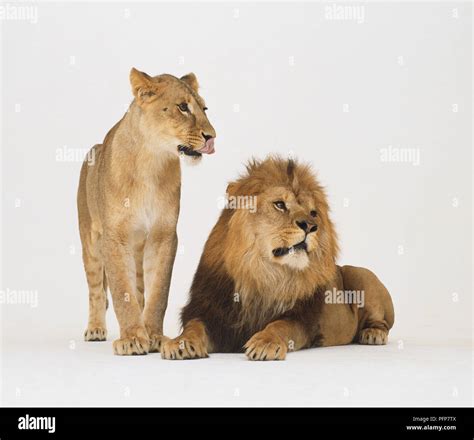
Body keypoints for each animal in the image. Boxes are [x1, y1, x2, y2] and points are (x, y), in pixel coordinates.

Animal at [78, 69, 217, 358]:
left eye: (205, 108)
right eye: (183, 107)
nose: (212, 136)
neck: (151, 162)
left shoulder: (164, 236)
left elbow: (157, 293)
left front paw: (152, 335)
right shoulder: (114, 238)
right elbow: (122, 291)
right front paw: (132, 338)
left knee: (140, 290)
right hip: (90, 242)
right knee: (96, 290)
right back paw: (96, 329)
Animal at [162, 156, 392, 360]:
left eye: (313, 213)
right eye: (280, 204)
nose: (310, 226)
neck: (264, 272)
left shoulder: (301, 318)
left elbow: (280, 325)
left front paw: (265, 343)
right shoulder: (209, 312)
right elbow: (193, 326)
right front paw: (180, 343)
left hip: (360, 273)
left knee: (382, 322)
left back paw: (372, 334)